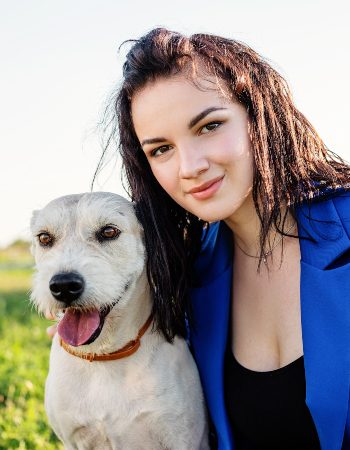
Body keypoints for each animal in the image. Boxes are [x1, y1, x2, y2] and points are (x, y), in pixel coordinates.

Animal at [30, 192, 209, 450]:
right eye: (44, 237)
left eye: (108, 232)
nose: (63, 286)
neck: (104, 355)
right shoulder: (72, 439)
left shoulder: (183, 439)